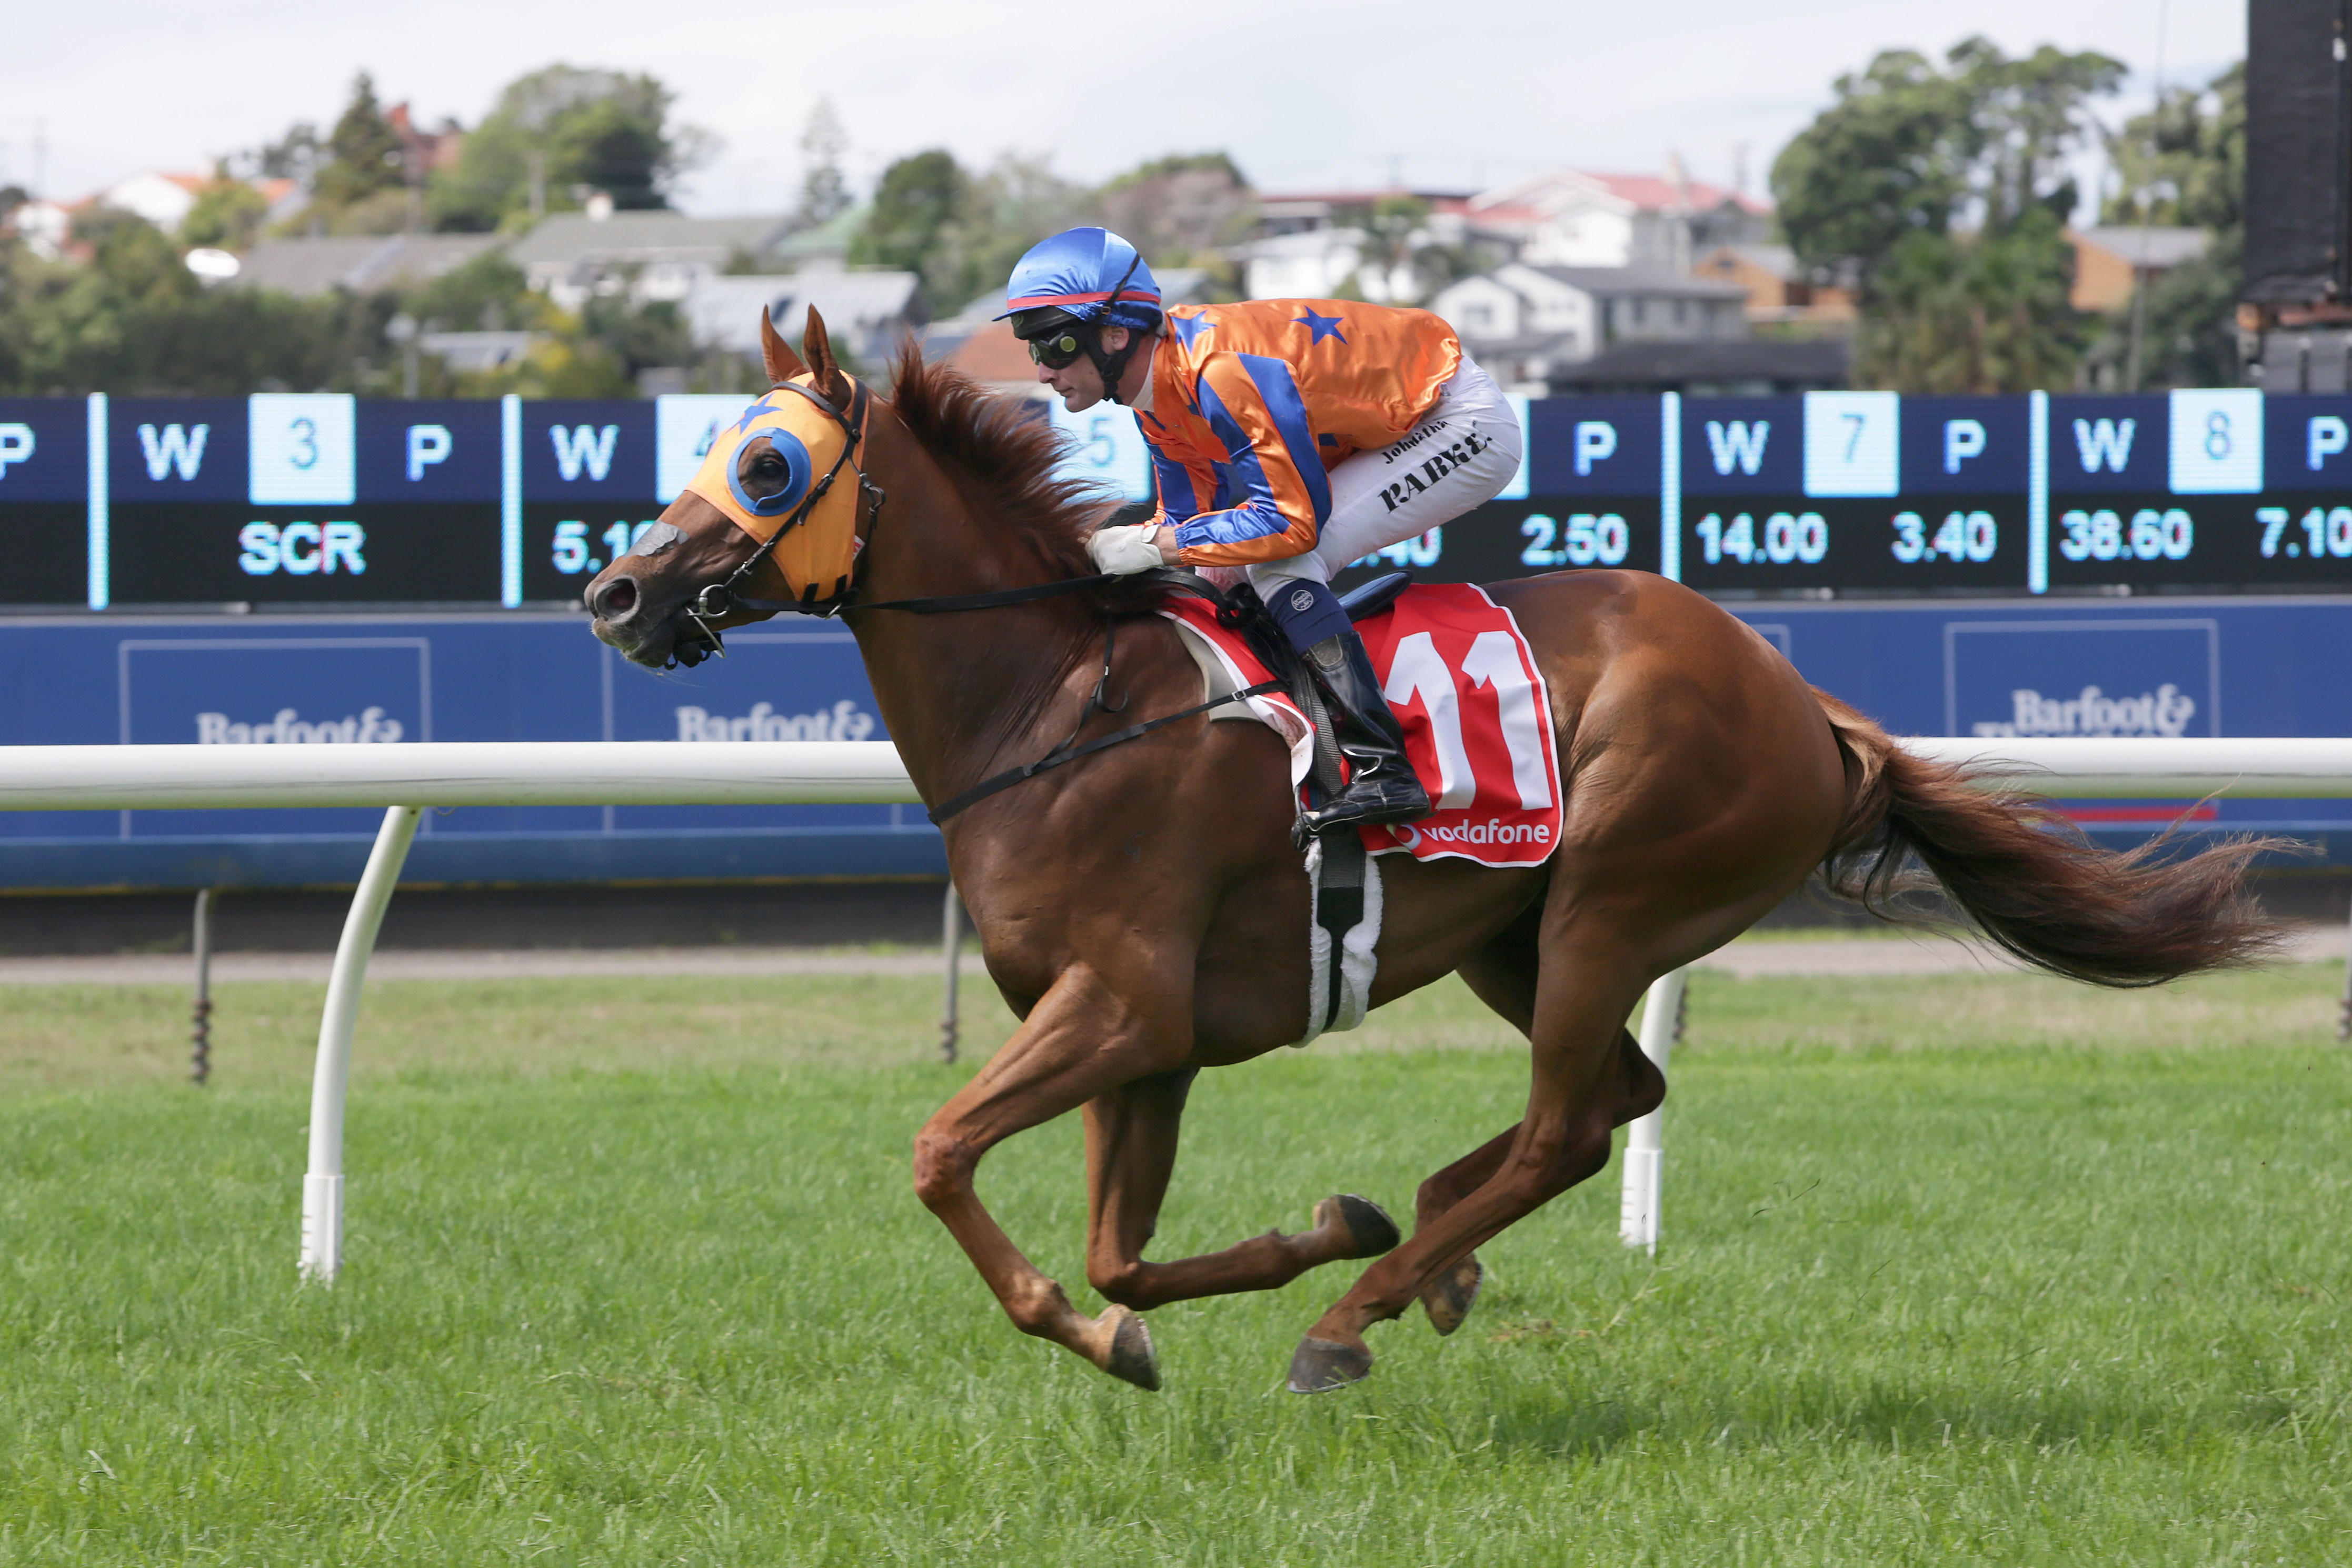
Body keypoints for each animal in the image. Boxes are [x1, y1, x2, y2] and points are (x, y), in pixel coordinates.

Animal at [583, 313, 2277, 1392]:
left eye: (766, 466)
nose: (613, 594)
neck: (1059, 708)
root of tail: (1805, 701)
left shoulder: (1121, 1003)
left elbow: (943, 1153)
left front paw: (1194, 1308)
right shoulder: (1144, 1039)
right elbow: (1123, 1259)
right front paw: (1241, 1271)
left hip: (1612, 899)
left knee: (1565, 1125)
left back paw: (1359, 1312)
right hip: (1516, 942)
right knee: (1607, 1102)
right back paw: (1417, 1247)